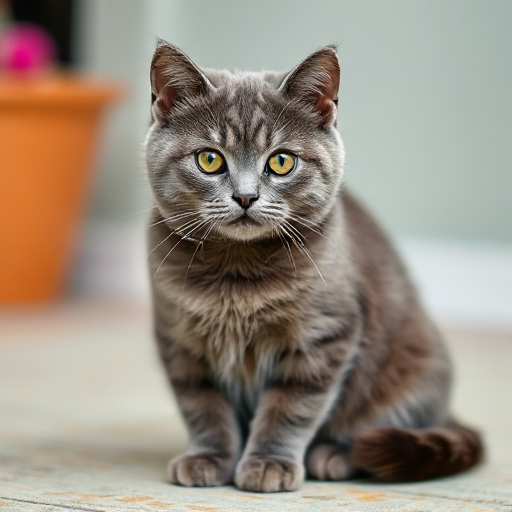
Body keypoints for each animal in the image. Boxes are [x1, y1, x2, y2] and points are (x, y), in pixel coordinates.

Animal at [145, 42, 484, 494]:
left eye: (281, 162)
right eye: (210, 159)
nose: (246, 197)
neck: (237, 275)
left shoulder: (323, 338)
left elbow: (291, 408)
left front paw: (268, 463)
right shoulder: (181, 343)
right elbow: (202, 407)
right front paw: (209, 458)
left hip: (409, 367)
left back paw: (335, 455)